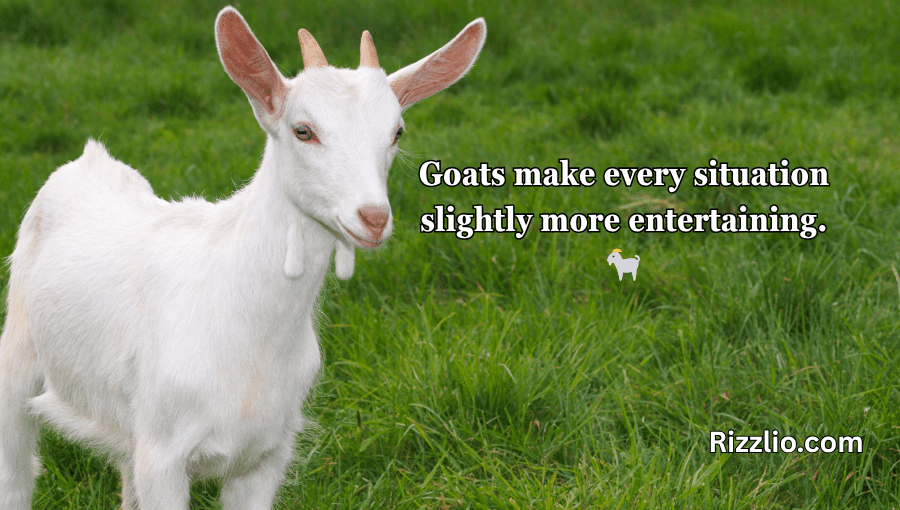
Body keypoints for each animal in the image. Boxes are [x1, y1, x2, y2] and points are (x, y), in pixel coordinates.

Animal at [0, 7, 485, 509]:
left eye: (396, 133)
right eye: (303, 130)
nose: (372, 217)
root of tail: (89, 158)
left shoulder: (265, 453)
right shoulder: (163, 454)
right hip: (16, 354)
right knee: (16, 470)